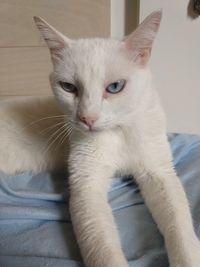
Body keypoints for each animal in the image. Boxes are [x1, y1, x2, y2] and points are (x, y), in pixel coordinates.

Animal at [0, 11, 200, 267]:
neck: (117, 133)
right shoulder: (87, 186)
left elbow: (179, 224)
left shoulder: (160, 173)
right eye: (68, 87)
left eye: (115, 87)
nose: (87, 118)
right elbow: (102, 247)